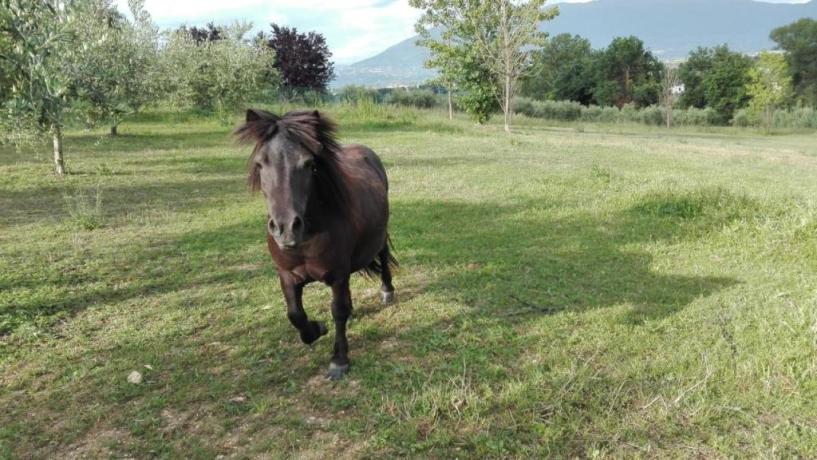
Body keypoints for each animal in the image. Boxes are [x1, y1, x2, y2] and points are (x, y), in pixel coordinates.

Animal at [234, 108, 396, 380]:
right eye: (260, 163)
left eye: (309, 164)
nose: (286, 228)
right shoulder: (287, 275)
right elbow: (295, 315)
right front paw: (318, 328)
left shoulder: (338, 275)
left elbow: (338, 311)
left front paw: (339, 360)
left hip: (379, 237)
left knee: (383, 257)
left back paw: (387, 291)